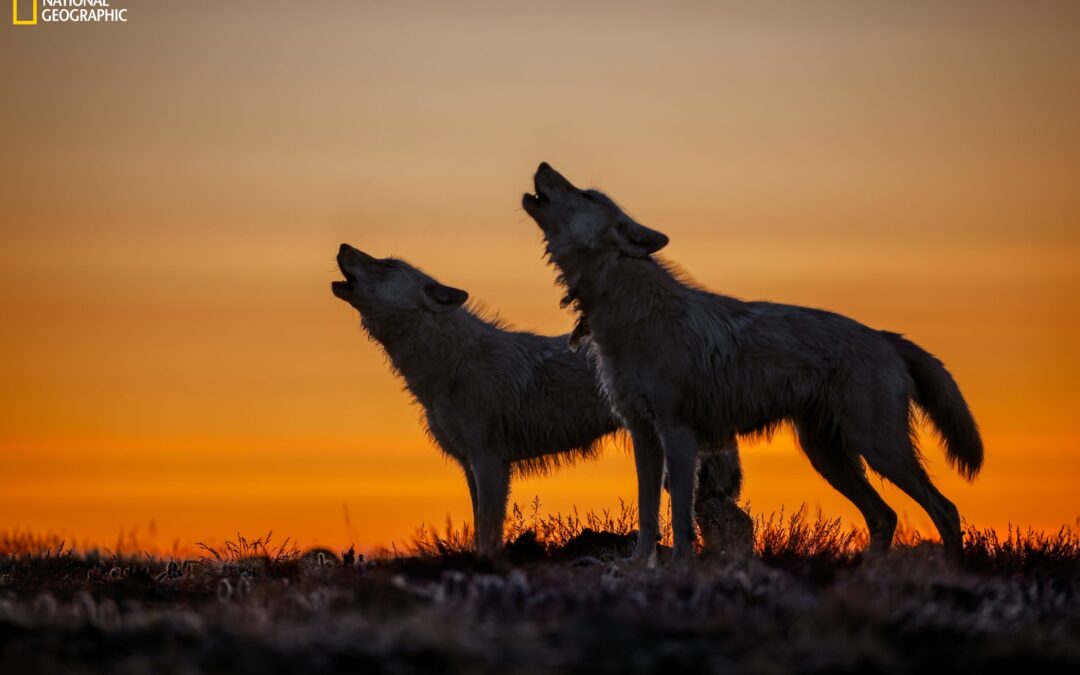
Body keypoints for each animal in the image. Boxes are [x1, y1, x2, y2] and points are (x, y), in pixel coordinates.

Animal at [331, 244, 749, 557]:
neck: (449, 366)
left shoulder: (491, 463)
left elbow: (489, 534)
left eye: (386, 265)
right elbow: (480, 527)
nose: (343, 246)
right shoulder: (470, 466)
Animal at [522, 163, 983, 564]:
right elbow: (648, 517)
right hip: (829, 457)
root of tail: (886, 336)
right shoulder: (644, 435)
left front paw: (680, 568)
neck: (629, 311)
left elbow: (680, 520)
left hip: (879, 449)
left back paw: (949, 573)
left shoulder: (678, 434)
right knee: (884, 516)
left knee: (944, 510)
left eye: (588, 194)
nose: (543, 165)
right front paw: (638, 568)